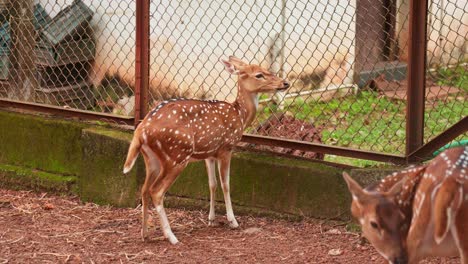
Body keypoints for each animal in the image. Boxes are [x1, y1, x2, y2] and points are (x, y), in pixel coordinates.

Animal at [121, 56, 288, 244]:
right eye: (259, 74)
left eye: (267, 70)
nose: (285, 83)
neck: (239, 115)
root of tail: (141, 130)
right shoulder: (226, 148)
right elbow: (226, 184)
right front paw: (232, 221)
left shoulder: (209, 153)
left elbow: (212, 184)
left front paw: (211, 219)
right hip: (177, 155)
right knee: (156, 191)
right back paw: (171, 236)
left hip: (151, 159)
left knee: (144, 189)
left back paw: (145, 233)